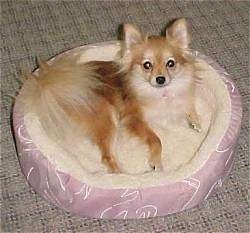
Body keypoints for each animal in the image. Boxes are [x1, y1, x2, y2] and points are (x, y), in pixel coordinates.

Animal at [22, 18, 201, 173]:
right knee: (106, 156)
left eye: (170, 63)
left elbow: (189, 108)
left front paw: (195, 121)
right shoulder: (133, 119)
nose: (160, 79)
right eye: (147, 65)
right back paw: (122, 175)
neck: (161, 93)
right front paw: (156, 161)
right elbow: (156, 139)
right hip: (107, 115)